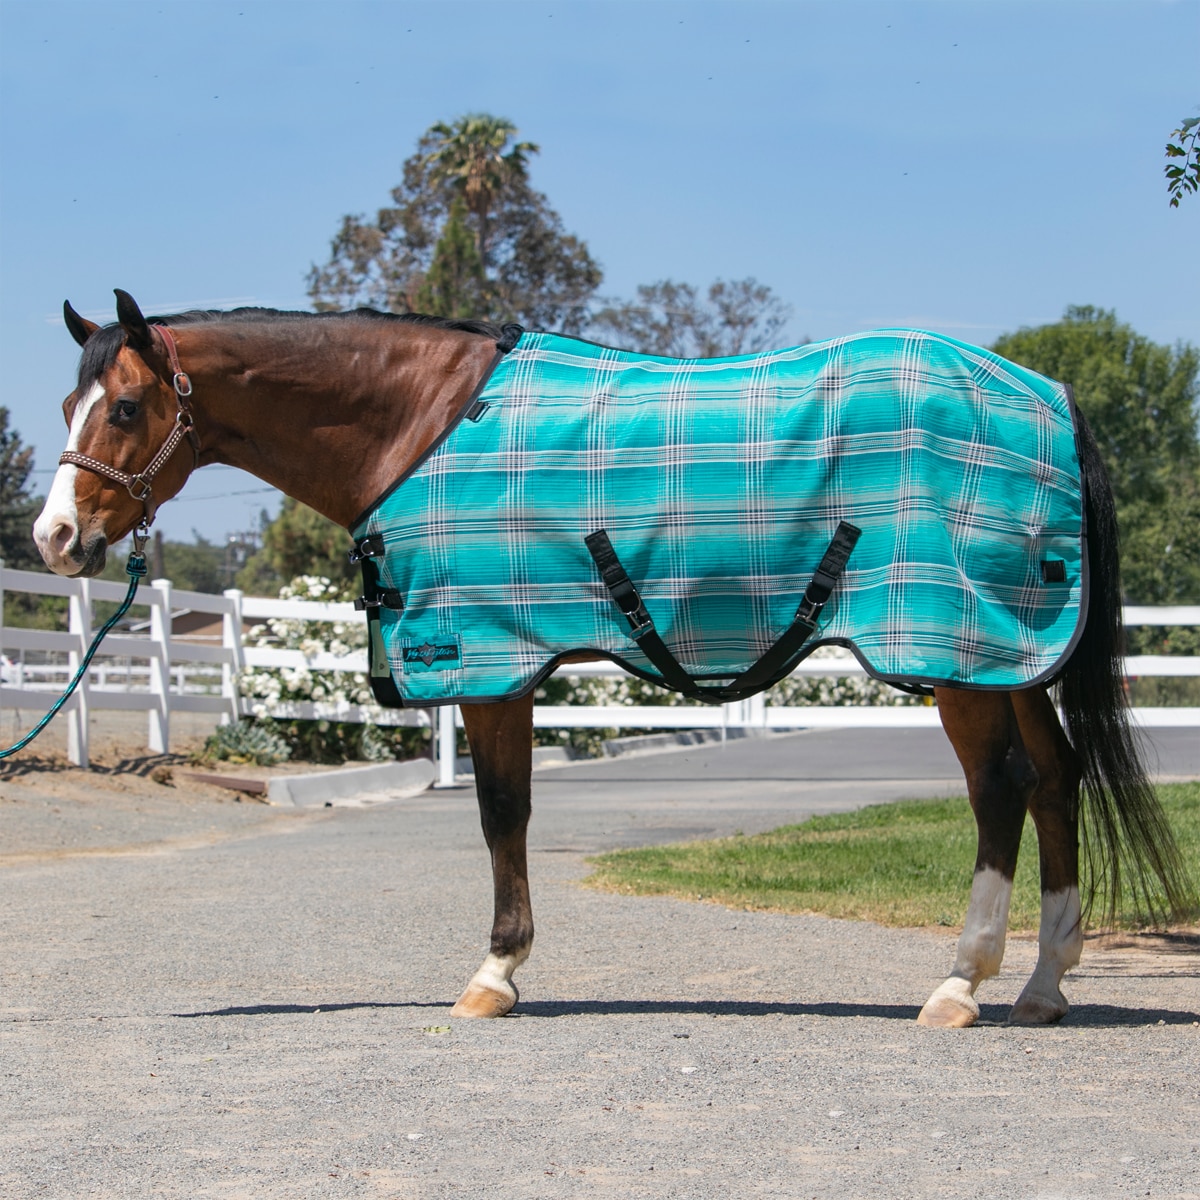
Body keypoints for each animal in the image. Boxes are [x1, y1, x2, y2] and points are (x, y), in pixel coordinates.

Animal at [32, 290, 1193, 1028]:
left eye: (126, 406)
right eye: (69, 406)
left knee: (1000, 791)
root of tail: (1049, 396)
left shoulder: (491, 662)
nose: (54, 539)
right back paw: (1042, 988)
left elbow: (503, 812)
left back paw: (960, 985)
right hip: (1010, 655)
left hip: (954, 655)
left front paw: (494, 973)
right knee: (1054, 782)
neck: (419, 425)